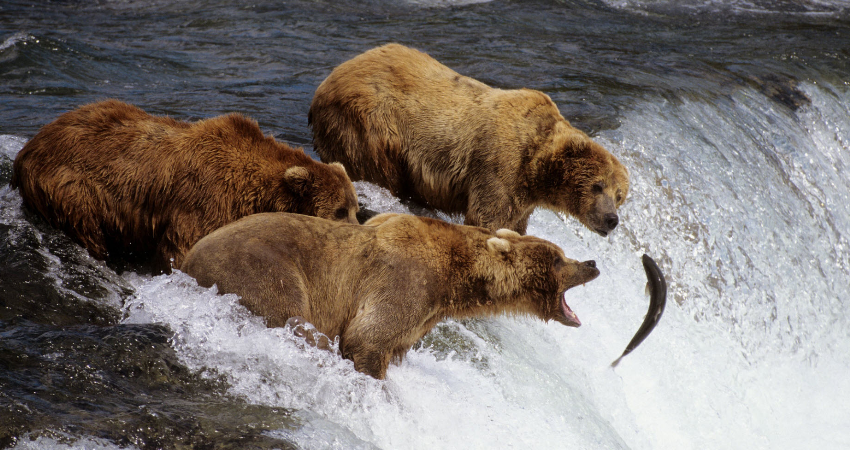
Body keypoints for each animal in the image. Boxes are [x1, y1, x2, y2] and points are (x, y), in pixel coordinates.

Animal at [11, 99, 359, 272]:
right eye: (339, 211)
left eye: (355, 208)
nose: (357, 231)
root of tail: (28, 148)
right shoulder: (205, 200)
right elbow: (182, 249)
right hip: (73, 186)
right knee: (87, 228)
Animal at [180, 212, 600, 379]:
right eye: (559, 258)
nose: (592, 263)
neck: (455, 279)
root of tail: (186, 260)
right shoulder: (404, 281)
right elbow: (367, 337)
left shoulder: (422, 314)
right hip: (263, 269)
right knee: (294, 318)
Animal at [309, 43, 629, 236]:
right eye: (597, 185)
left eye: (619, 195)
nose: (612, 219)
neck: (536, 168)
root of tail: (329, 79)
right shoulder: (500, 166)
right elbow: (488, 218)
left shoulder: (523, 196)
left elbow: (515, 224)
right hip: (370, 124)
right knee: (377, 169)